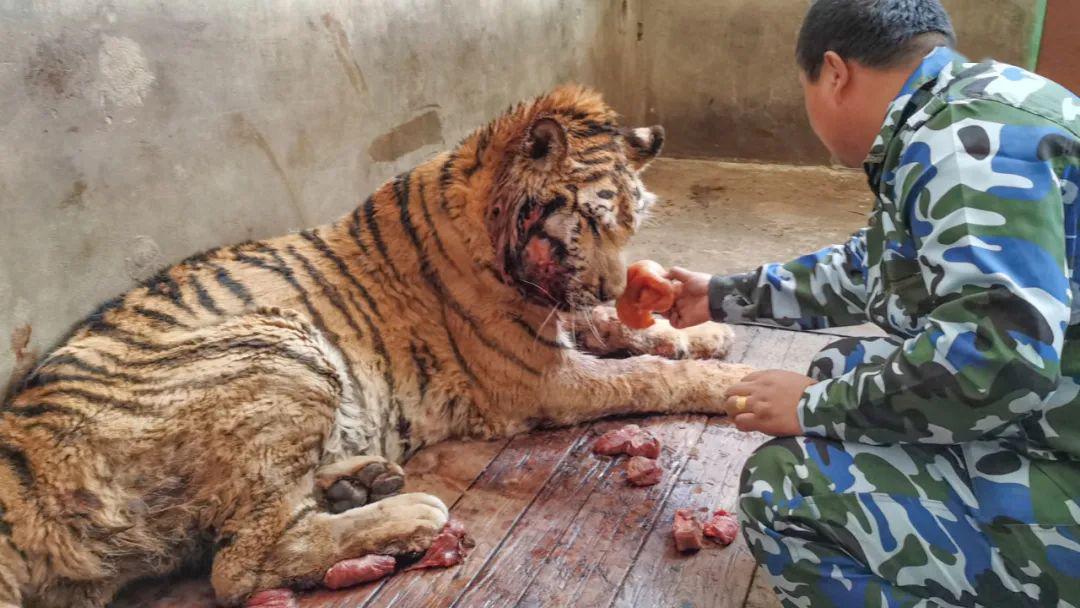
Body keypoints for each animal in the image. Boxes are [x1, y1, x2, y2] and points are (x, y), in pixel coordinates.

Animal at [0, 86, 756, 608]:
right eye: (593, 221)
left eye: (632, 222)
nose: (609, 284)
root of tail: (24, 461)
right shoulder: (540, 376)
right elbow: (646, 376)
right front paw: (728, 381)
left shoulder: (561, 323)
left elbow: (628, 331)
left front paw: (701, 329)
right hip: (281, 346)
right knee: (238, 563)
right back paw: (408, 511)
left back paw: (359, 481)